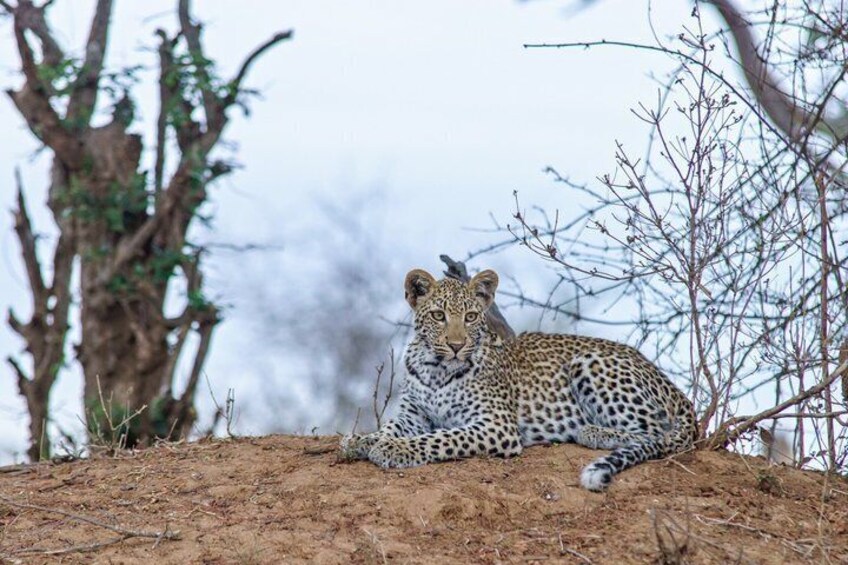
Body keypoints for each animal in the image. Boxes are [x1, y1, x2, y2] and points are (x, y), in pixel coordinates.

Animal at [340, 268, 698, 491]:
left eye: (471, 317)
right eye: (439, 316)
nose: (456, 345)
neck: (436, 368)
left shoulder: (496, 425)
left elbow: (439, 438)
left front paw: (395, 448)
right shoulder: (413, 413)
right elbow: (388, 427)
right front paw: (361, 440)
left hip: (590, 363)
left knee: (659, 435)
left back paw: (593, 431)